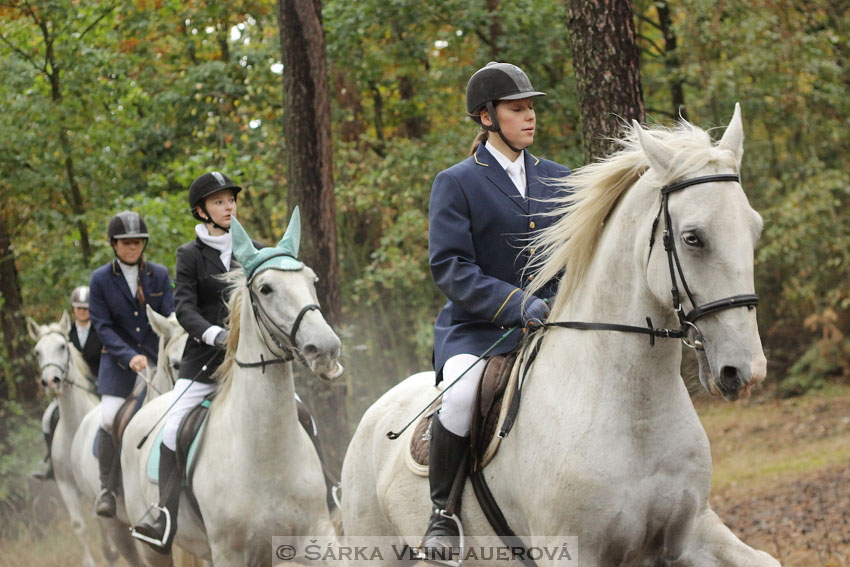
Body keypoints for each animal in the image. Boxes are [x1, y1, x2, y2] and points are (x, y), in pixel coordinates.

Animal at [120, 212, 343, 567]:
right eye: (266, 288)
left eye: (311, 279)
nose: (325, 349)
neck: (266, 457)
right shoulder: (230, 553)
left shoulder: (317, 537)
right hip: (153, 549)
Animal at [339, 105, 781, 566]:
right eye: (693, 238)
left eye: (754, 228)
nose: (744, 371)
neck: (635, 412)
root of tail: (375, 411)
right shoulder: (572, 551)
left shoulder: (691, 532)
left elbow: (766, 559)